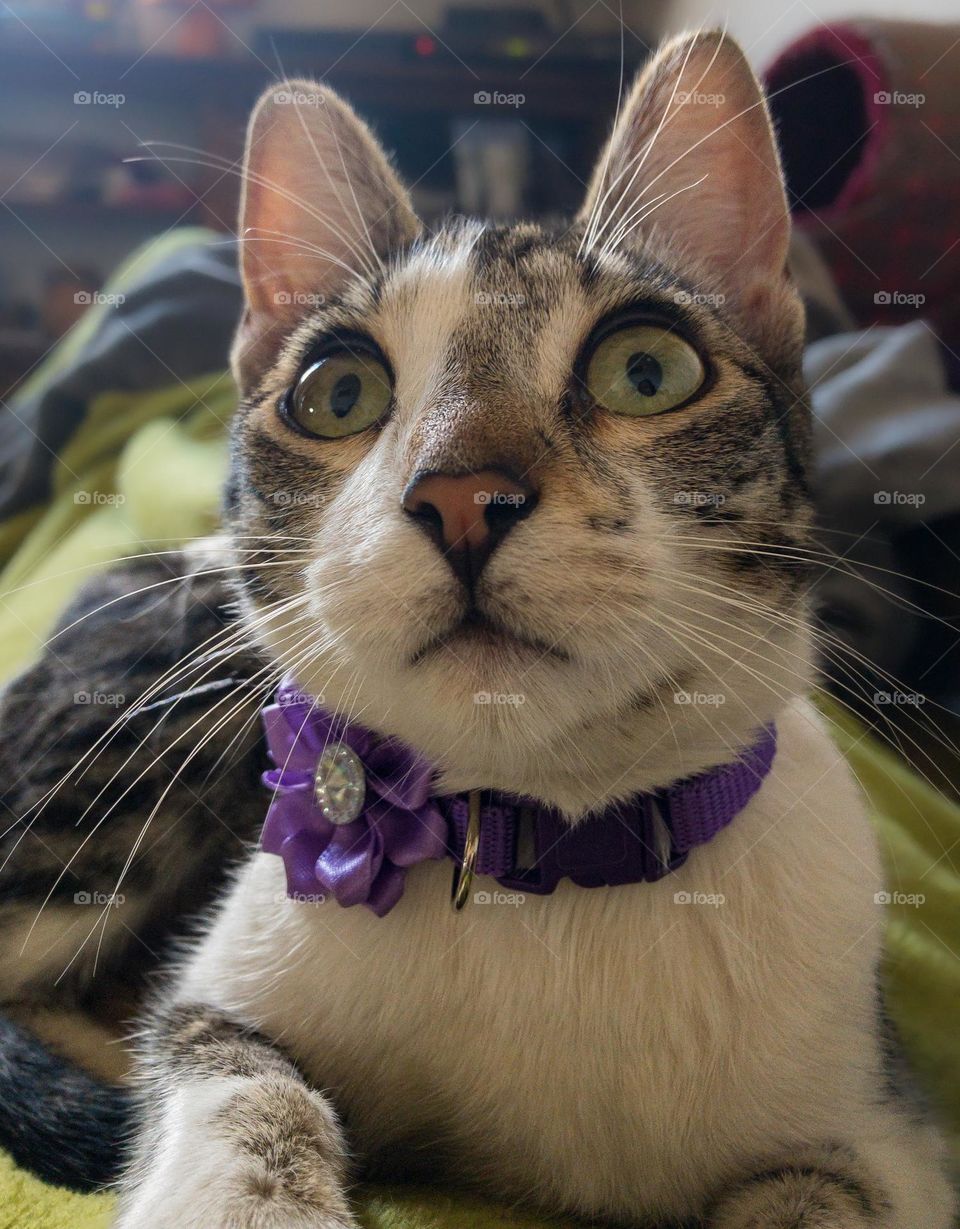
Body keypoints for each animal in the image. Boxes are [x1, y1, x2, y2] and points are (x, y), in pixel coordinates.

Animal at [0, 26, 953, 1229]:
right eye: (337, 391)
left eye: (647, 370)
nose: (461, 496)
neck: (534, 849)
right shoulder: (222, 991)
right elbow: (236, 1066)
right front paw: (248, 1196)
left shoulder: (891, 1129)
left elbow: (818, 1193)